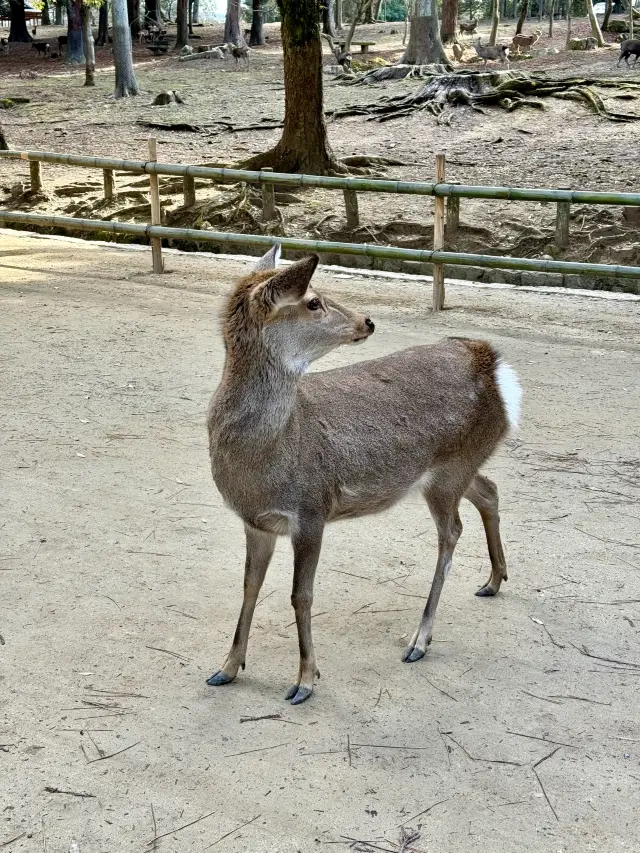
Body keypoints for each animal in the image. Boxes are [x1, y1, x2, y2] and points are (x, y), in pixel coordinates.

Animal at [204, 246, 522, 705]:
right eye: (313, 301)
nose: (367, 321)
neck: (264, 464)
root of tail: (493, 365)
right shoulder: (257, 521)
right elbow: (249, 587)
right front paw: (226, 668)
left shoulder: (312, 509)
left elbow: (301, 595)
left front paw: (305, 680)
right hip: (458, 464)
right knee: (489, 490)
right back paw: (494, 580)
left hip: (449, 472)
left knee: (452, 532)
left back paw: (419, 640)